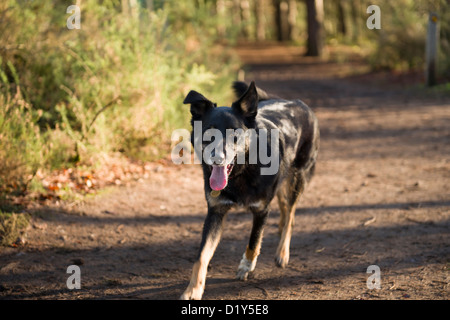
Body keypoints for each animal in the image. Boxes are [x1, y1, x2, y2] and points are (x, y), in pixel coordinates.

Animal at [180, 80, 320, 300]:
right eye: (209, 133)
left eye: (235, 133)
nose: (217, 158)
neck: (241, 172)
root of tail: (296, 102)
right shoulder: (215, 212)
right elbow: (201, 256)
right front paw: (193, 289)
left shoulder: (261, 210)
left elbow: (254, 241)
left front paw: (246, 266)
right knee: (284, 205)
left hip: (298, 177)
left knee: (290, 213)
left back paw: (283, 252)